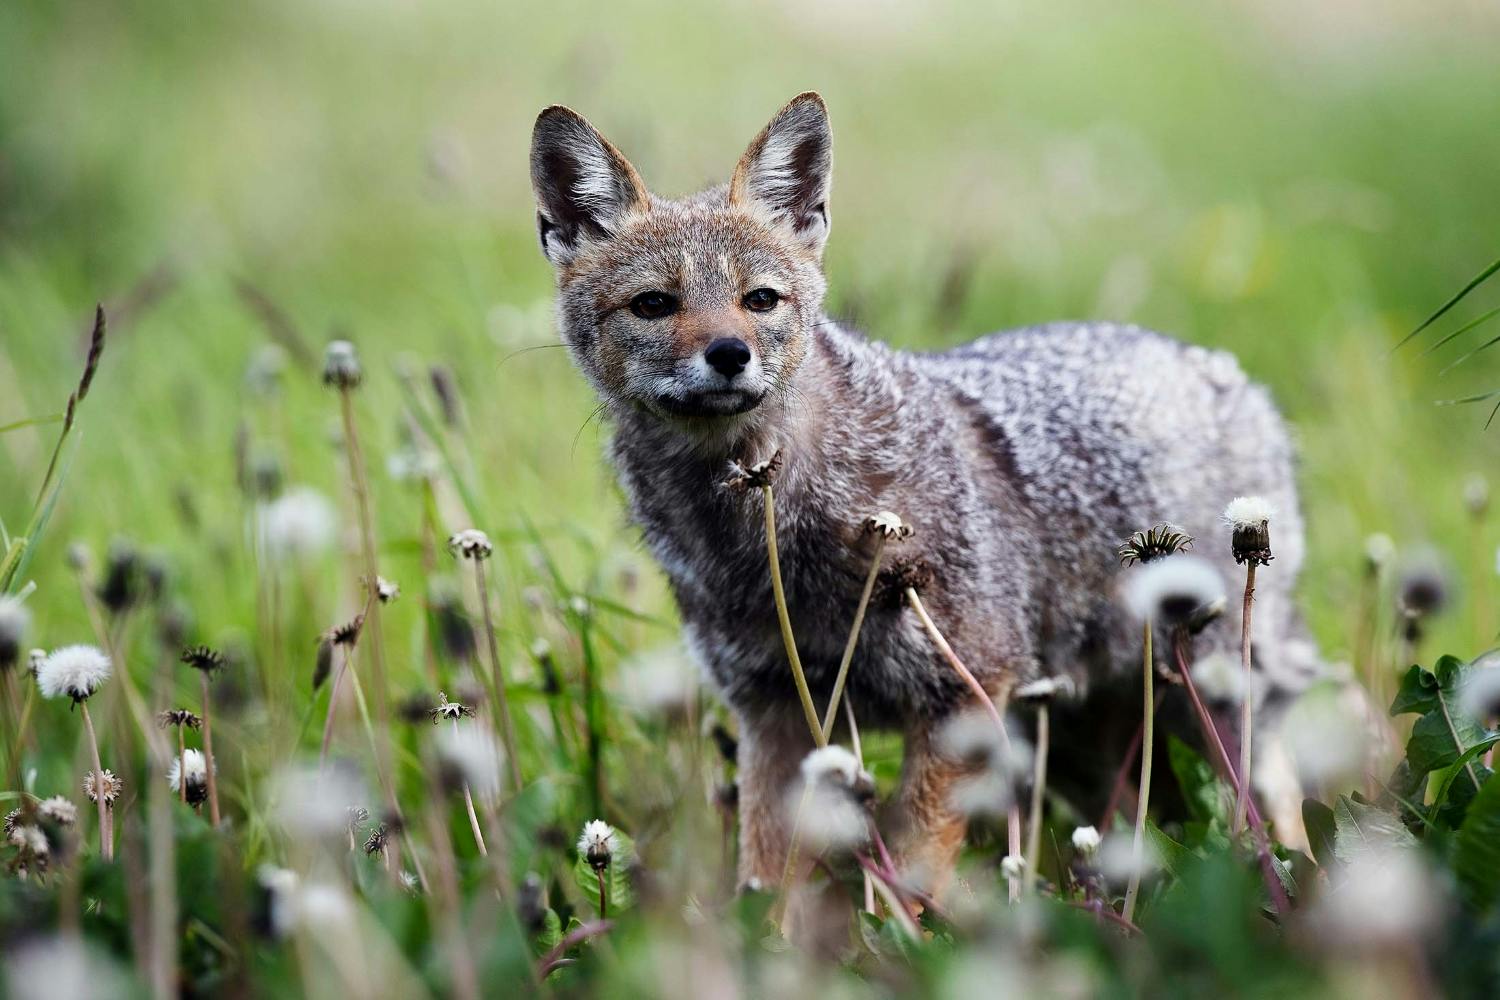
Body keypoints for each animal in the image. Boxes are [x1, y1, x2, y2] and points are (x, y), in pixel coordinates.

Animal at [531, 93, 1326, 893]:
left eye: (760, 300)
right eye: (653, 305)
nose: (730, 354)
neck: (772, 534)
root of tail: (1226, 370)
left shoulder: (961, 694)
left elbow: (912, 876)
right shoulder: (774, 714)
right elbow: (768, 886)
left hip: (1209, 703)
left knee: (1277, 808)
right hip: (1083, 743)